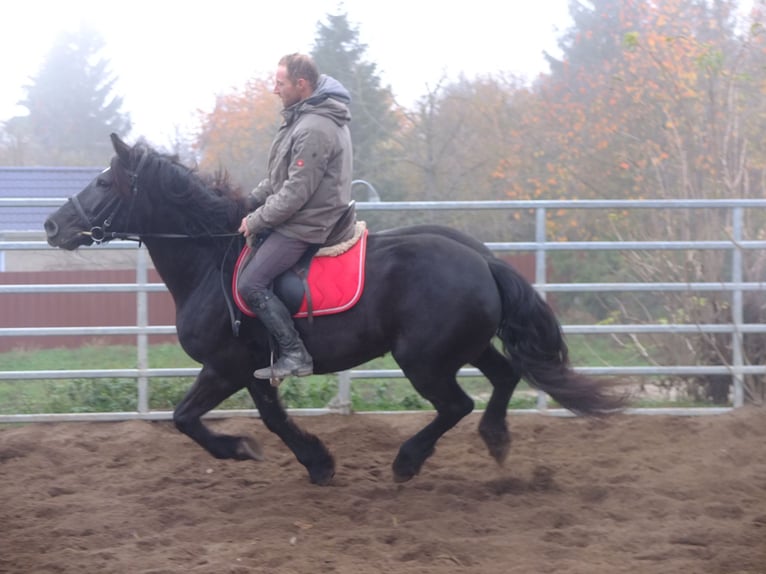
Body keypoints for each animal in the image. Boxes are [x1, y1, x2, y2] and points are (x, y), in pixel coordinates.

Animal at [43, 134, 632, 486]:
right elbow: (268, 417)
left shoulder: (228, 366)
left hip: (423, 359)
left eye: (103, 182)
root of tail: (483, 259)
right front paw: (315, 461)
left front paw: (254, 451)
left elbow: (192, 418)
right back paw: (497, 440)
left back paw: (408, 461)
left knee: (456, 405)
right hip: (463, 346)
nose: (52, 225)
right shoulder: (251, 371)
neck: (212, 258)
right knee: (504, 377)